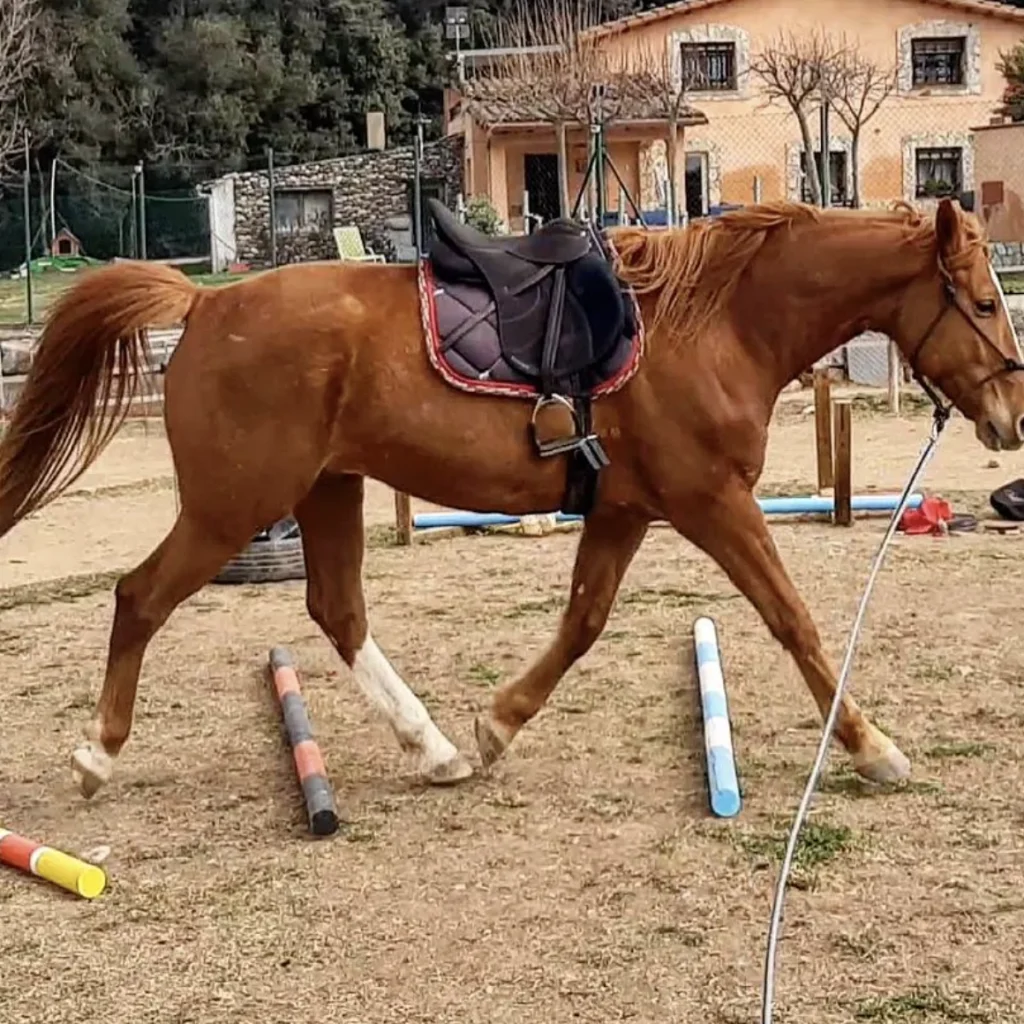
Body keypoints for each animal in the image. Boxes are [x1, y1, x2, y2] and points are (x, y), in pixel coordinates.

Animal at [2, 195, 1024, 794]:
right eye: (981, 301)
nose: (1010, 415)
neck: (717, 323)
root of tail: (207, 302)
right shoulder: (713, 504)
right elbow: (793, 619)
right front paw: (873, 746)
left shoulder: (624, 510)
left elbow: (582, 622)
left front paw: (495, 725)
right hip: (235, 504)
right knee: (141, 597)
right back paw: (97, 753)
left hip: (325, 490)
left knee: (338, 611)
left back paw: (434, 748)